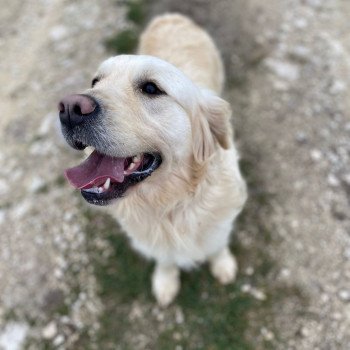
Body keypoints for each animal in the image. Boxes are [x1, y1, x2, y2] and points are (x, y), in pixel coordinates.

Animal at [58, 13, 246, 306]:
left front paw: (223, 264)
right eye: (95, 82)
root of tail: (171, 16)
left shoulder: (218, 222)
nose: (69, 108)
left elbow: (217, 244)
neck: (169, 204)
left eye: (151, 88)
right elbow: (166, 259)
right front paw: (166, 281)